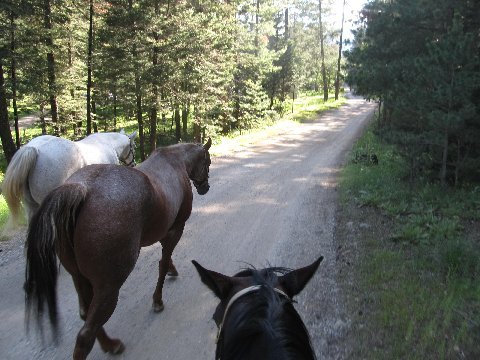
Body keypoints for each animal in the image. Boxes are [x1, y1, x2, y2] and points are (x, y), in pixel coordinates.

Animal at [24, 140, 212, 360]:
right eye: (207, 161)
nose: (205, 187)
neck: (175, 162)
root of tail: (81, 189)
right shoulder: (176, 229)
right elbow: (163, 263)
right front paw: (158, 300)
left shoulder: (162, 229)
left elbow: (165, 259)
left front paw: (171, 271)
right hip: (109, 286)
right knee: (85, 335)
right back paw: (111, 345)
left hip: (79, 277)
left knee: (85, 314)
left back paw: (108, 343)